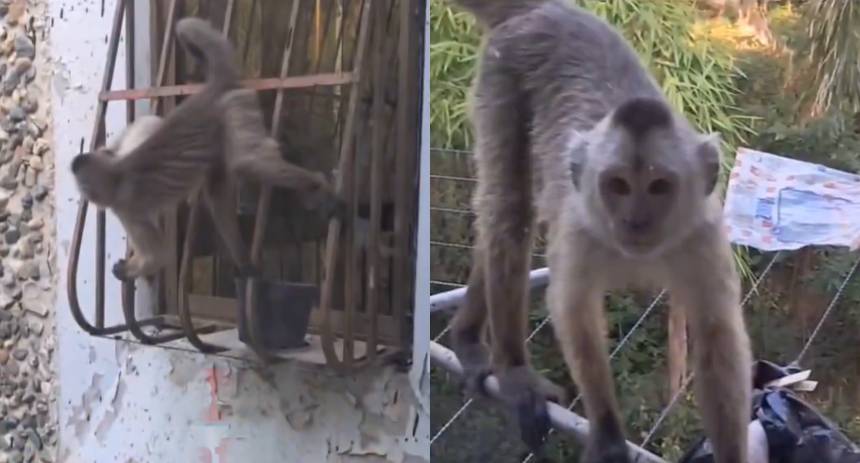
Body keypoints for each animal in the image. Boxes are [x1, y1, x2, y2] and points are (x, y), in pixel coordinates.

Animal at [70, 17, 341, 282]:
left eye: (84, 187)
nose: (85, 195)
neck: (117, 172)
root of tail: (213, 88)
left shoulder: (125, 207)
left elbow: (157, 256)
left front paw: (126, 270)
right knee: (219, 186)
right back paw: (244, 262)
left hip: (234, 104)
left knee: (250, 161)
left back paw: (320, 186)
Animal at [446, 1, 753, 462]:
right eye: (618, 186)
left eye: (659, 187)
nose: (635, 220)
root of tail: (546, 9)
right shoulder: (580, 221)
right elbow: (573, 309)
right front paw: (608, 431)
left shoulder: (704, 231)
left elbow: (718, 335)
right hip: (503, 70)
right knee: (509, 209)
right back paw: (509, 367)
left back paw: (468, 338)